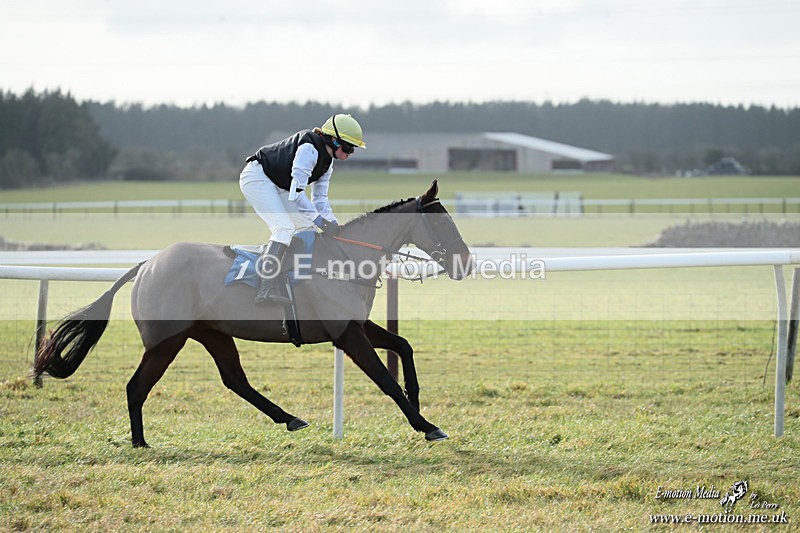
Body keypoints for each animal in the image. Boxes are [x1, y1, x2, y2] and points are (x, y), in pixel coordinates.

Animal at [33, 180, 475, 447]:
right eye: (443, 223)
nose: (466, 263)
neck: (344, 258)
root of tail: (145, 265)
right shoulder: (346, 333)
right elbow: (386, 380)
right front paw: (426, 426)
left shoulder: (356, 324)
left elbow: (403, 345)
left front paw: (419, 401)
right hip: (166, 340)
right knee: (136, 387)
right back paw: (140, 442)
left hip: (211, 332)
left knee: (235, 380)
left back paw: (290, 418)